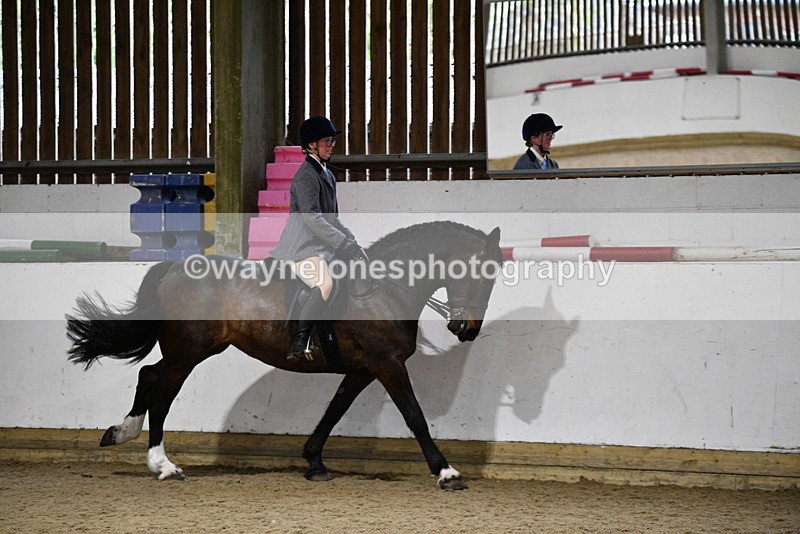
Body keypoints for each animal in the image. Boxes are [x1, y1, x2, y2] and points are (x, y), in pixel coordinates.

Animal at [66, 221, 502, 490]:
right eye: (484, 273)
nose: (467, 330)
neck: (386, 289)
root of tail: (173, 267)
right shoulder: (387, 364)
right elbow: (415, 416)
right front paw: (446, 472)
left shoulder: (363, 369)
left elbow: (334, 410)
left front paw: (314, 463)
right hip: (189, 351)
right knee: (162, 391)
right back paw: (164, 465)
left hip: (193, 349)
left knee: (149, 375)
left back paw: (122, 432)